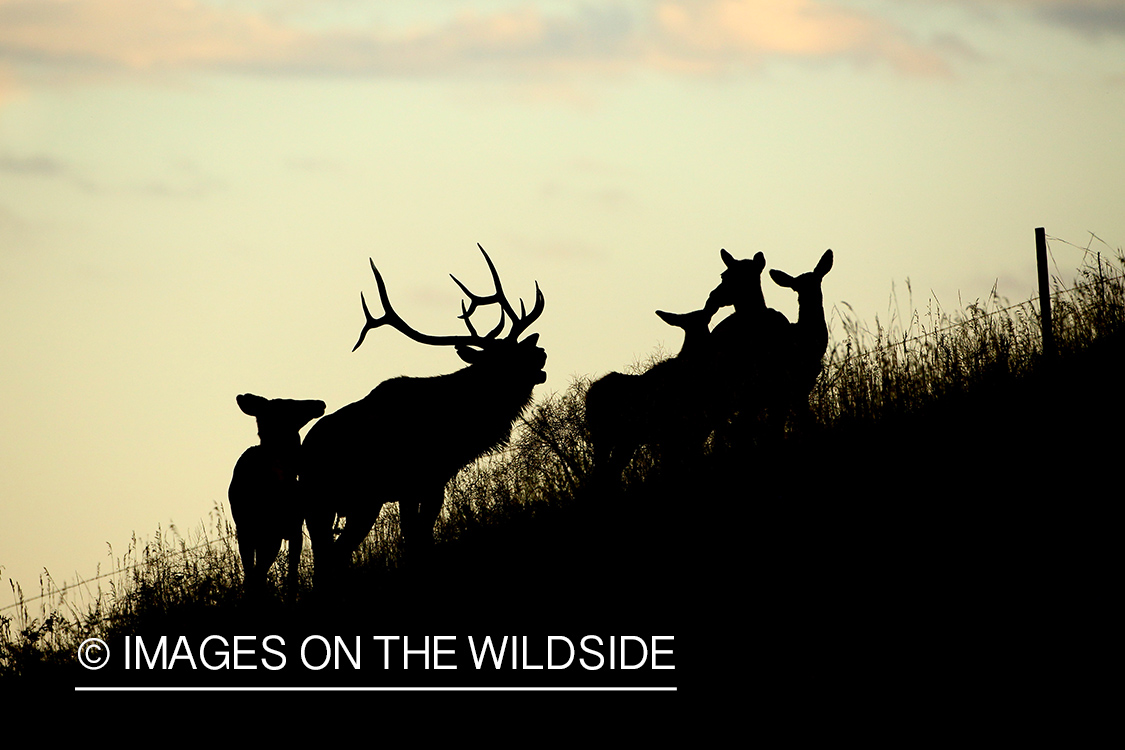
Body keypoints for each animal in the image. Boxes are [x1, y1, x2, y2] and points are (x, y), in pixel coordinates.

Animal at [228, 393, 326, 599]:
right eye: (289, 403)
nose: (319, 403)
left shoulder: (292, 528)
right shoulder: (286, 530)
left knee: (255, 572)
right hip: (256, 532)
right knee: (255, 572)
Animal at [299, 245, 546, 586]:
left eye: (519, 346)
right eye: (500, 357)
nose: (541, 353)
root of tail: (306, 451)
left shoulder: (426, 482)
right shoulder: (420, 480)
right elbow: (417, 538)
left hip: (336, 506)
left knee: (330, 557)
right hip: (344, 501)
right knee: (331, 557)